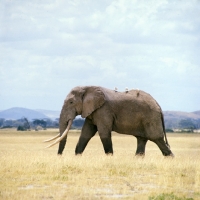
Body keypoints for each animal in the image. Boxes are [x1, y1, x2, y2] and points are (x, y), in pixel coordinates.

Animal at [44, 85, 174, 157]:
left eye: (71, 102)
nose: (59, 156)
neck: (88, 88)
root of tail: (159, 105)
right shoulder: (92, 111)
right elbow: (86, 133)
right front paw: (77, 157)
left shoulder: (104, 110)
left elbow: (103, 133)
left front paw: (110, 158)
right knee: (142, 139)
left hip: (151, 118)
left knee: (157, 138)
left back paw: (170, 158)